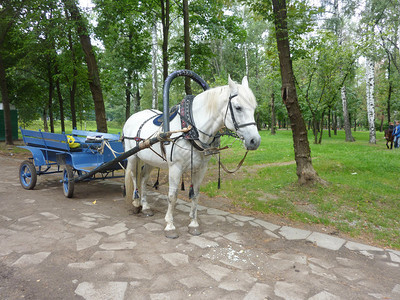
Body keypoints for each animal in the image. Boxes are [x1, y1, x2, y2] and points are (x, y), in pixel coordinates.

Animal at [123, 75, 260, 239]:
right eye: (238, 107)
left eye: (254, 108)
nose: (255, 141)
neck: (191, 130)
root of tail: (132, 117)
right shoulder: (175, 167)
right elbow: (172, 196)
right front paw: (170, 225)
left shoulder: (200, 168)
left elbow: (195, 195)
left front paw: (193, 224)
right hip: (133, 156)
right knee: (134, 177)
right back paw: (136, 203)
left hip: (150, 160)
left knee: (143, 178)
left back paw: (145, 207)